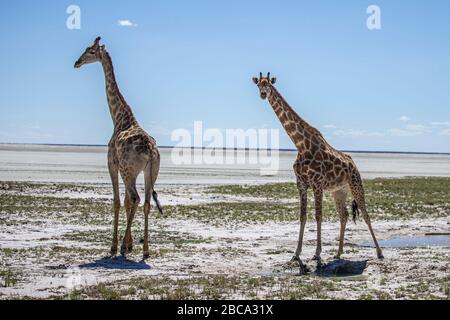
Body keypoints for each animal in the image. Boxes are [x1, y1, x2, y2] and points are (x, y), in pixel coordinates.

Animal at [74, 37, 163, 258]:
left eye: (90, 51)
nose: (76, 63)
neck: (118, 117)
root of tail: (151, 150)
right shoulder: (130, 171)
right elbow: (126, 202)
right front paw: (130, 245)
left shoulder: (112, 163)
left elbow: (117, 201)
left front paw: (116, 246)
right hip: (151, 172)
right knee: (145, 202)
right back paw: (146, 250)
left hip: (128, 170)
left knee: (136, 198)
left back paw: (122, 246)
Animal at [253, 73, 384, 272]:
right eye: (258, 85)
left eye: (268, 85)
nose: (262, 94)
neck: (300, 145)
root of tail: (353, 163)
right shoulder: (301, 184)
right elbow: (303, 216)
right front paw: (296, 255)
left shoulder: (317, 184)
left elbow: (318, 216)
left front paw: (317, 254)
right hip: (339, 191)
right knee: (344, 215)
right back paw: (338, 253)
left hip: (356, 184)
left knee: (365, 213)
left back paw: (379, 253)